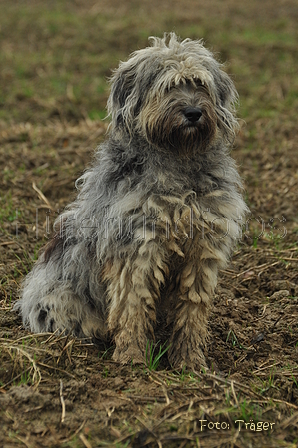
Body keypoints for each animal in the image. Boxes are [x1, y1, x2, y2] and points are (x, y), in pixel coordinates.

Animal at [16, 33, 249, 372]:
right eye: (168, 87)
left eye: (199, 84)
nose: (193, 113)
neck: (178, 161)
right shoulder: (137, 247)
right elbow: (133, 306)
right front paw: (133, 358)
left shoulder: (202, 250)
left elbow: (192, 310)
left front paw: (190, 361)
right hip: (58, 297)